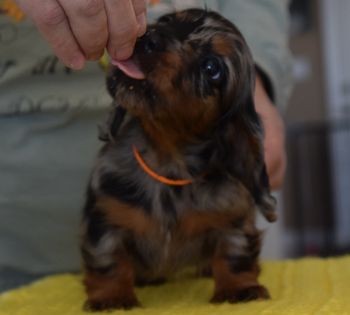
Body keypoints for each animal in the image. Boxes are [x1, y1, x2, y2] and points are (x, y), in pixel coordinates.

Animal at [81, 8, 276, 312]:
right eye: (166, 21)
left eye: (212, 67)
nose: (147, 37)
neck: (167, 162)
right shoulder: (105, 217)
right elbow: (108, 260)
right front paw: (112, 297)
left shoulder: (232, 219)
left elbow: (234, 253)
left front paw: (239, 288)